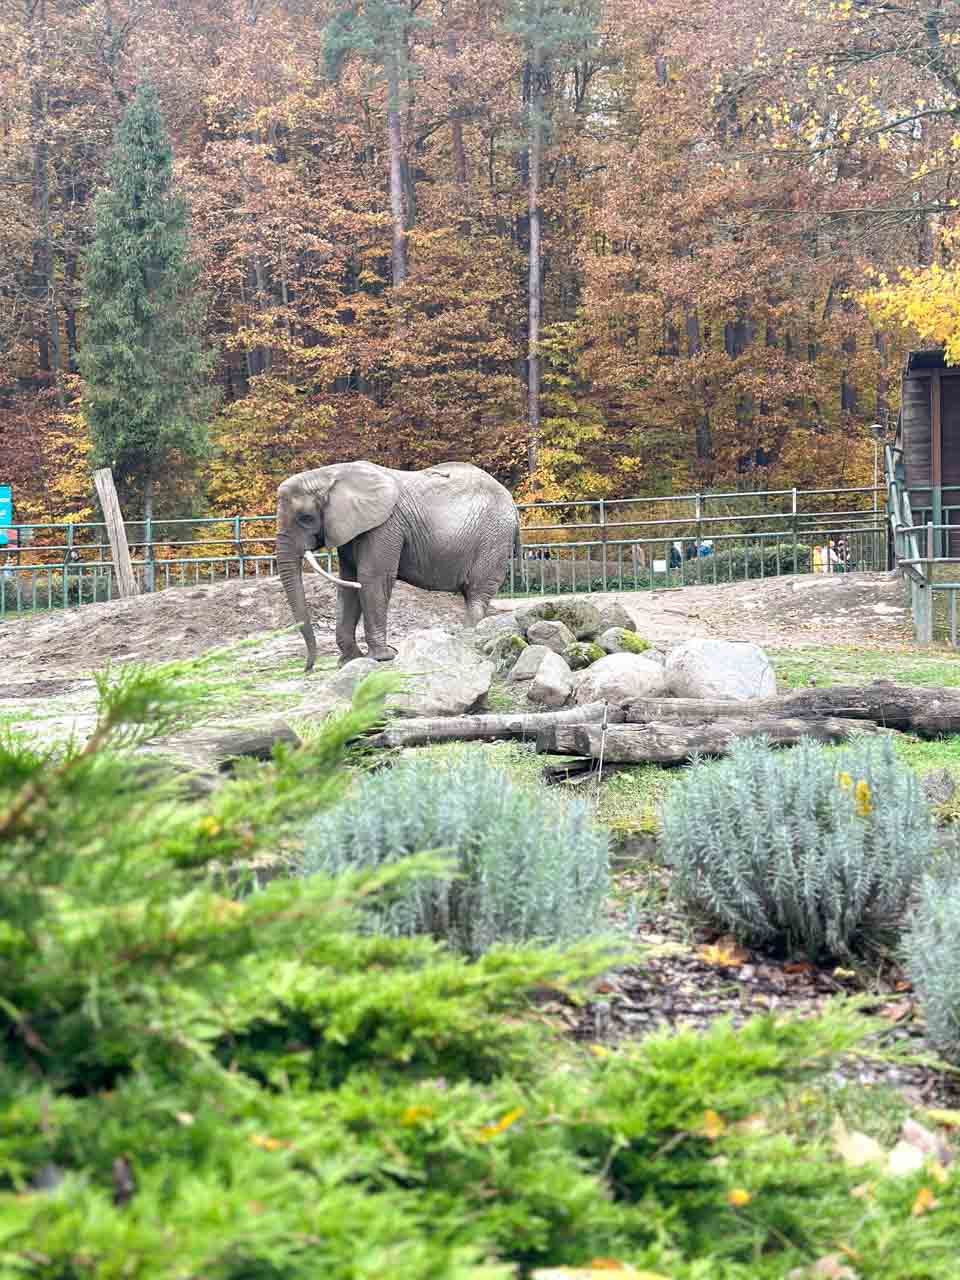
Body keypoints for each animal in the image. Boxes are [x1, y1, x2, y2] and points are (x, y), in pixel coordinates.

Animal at [276, 460, 520, 671]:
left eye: (305, 518)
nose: (307, 668)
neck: (330, 475)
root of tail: (512, 503)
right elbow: (349, 583)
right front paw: (349, 661)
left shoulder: (386, 525)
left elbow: (372, 578)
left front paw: (381, 657)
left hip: (494, 538)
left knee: (477, 592)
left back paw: (468, 637)